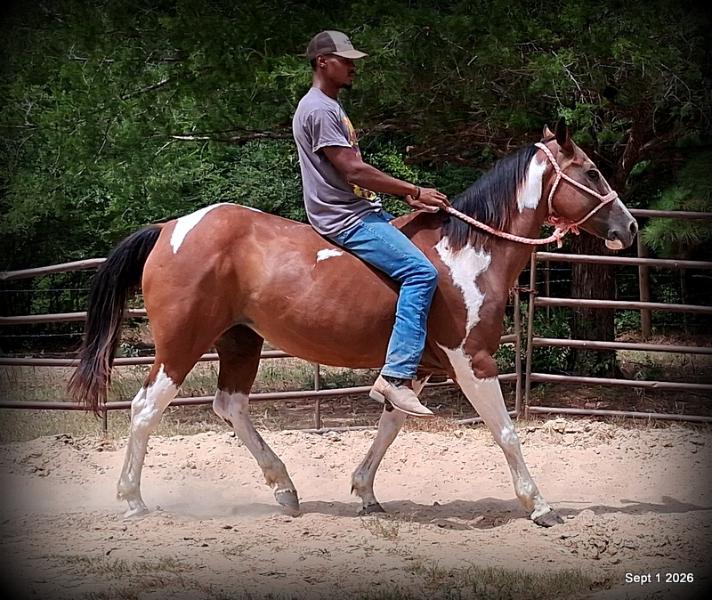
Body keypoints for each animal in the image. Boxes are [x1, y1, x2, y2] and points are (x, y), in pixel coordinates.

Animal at [69, 122, 637, 527]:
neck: (469, 251)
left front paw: (365, 493)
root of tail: (170, 228)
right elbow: (506, 432)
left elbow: (391, 424)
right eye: (591, 172)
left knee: (230, 406)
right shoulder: (471, 360)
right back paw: (133, 500)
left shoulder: (419, 367)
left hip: (240, 341)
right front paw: (540, 506)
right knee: (145, 409)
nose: (628, 226)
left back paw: (285, 489)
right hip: (181, 345)